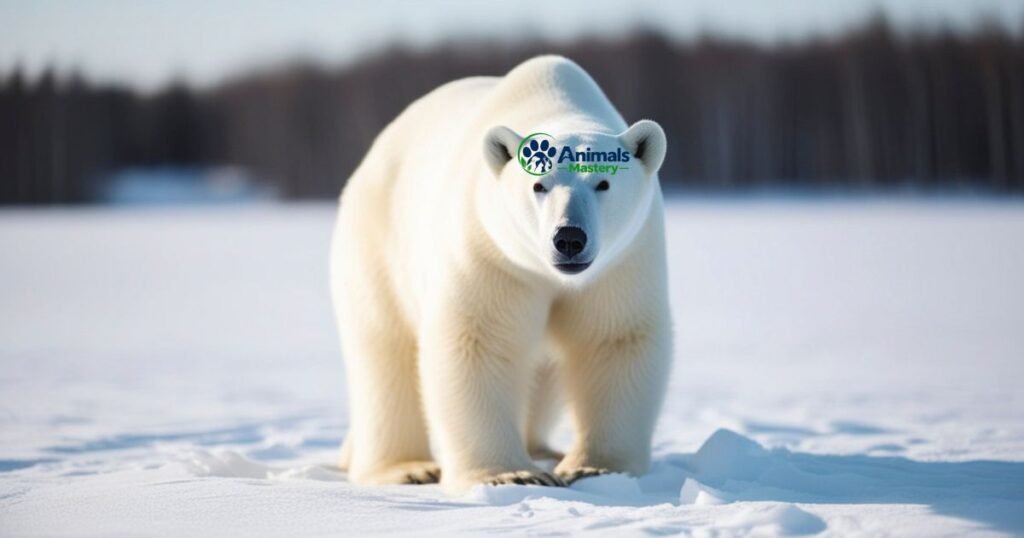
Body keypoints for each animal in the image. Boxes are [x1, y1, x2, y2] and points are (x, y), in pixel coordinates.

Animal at [330, 55, 672, 494]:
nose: (569, 238)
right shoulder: (490, 255)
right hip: (378, 249)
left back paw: (545, 449)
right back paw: (407, 467)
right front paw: (511, 474)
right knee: (384, 352)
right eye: (539, 185)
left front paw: (593, 468)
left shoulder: (621, 263)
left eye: (603, 182)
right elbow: (478, 341)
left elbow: (613, 339)